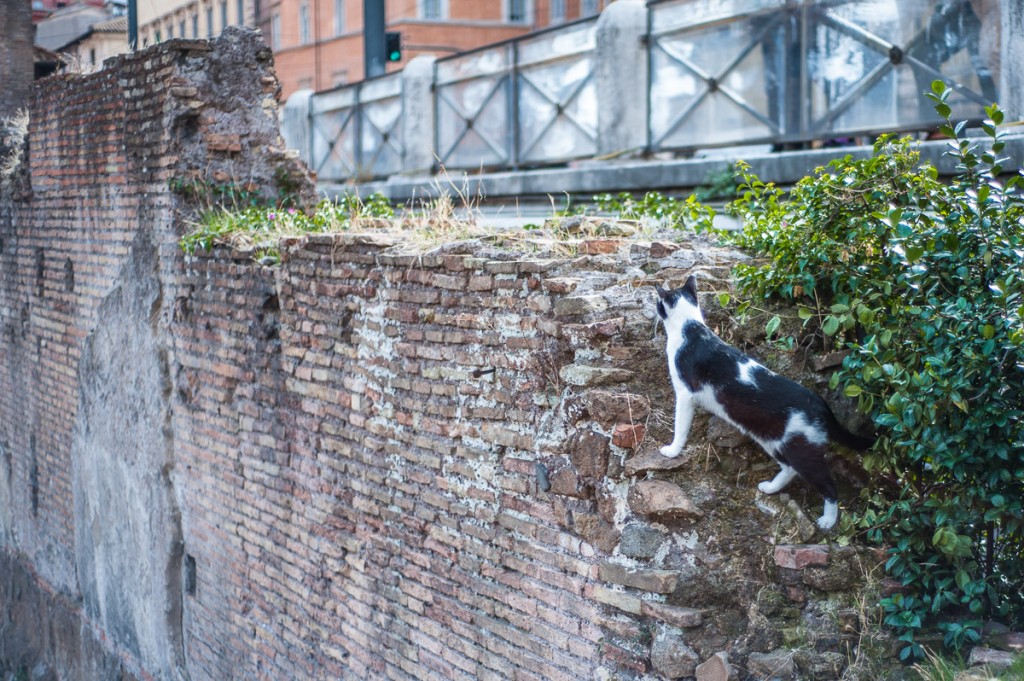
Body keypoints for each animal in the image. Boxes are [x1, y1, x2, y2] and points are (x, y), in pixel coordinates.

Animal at [655, 274, 872, 528]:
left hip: (800, 448)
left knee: (826, 483)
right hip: (773, 439)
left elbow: (680, 425)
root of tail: (819, 403)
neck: (689, 327)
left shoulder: (684, 394)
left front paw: (672, 450)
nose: (654, 307)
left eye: (658, 302)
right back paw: (770, 487)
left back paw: (828, 519)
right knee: (789, 468)